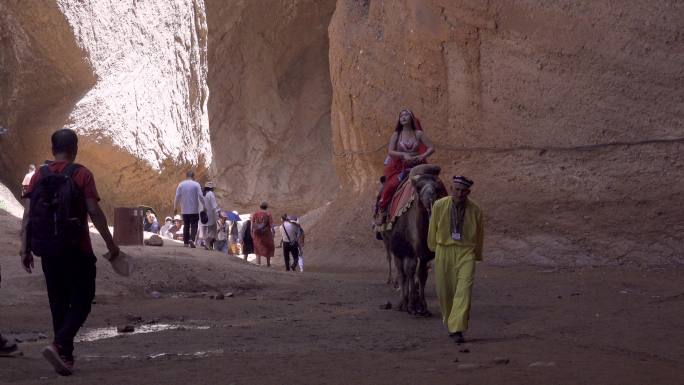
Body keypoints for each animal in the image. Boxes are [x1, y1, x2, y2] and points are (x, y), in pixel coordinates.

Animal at [380, 164, 448, 316]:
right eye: (418, 187)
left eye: (437, 187)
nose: (430, 196)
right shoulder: (407, 249)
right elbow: (410, 271)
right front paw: (411, 305)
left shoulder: (424, 253)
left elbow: (422, 274)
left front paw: (423, 307)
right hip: (397, 247)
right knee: (402, 272)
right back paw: (401, 302)